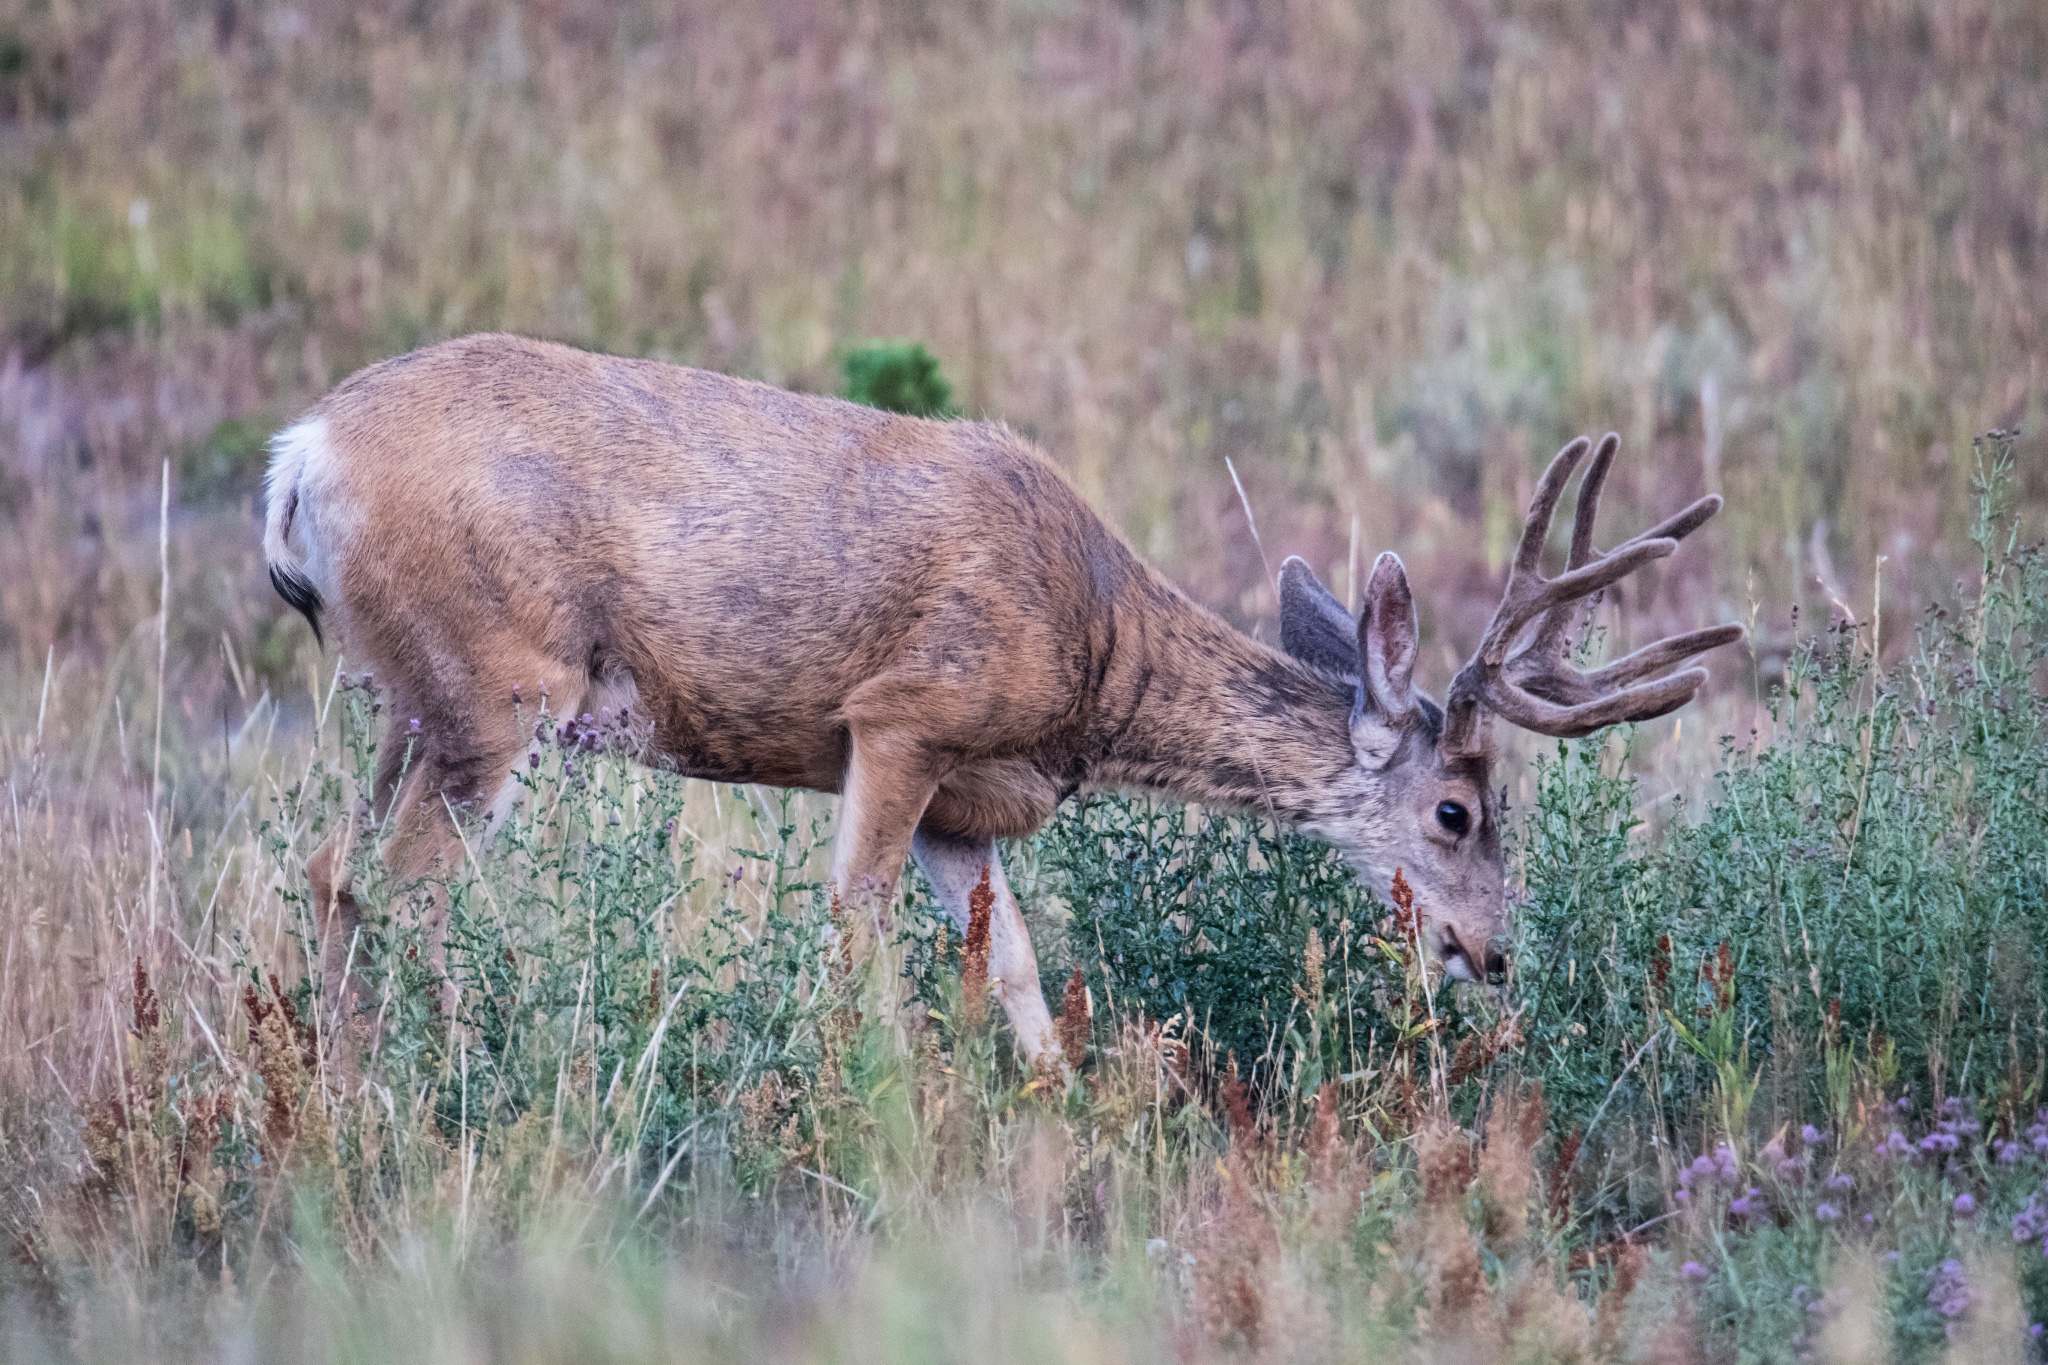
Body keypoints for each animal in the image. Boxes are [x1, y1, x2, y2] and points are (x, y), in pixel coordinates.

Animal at [268, 335, 1744, 1064]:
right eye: (1455, 812)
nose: (1490, 955)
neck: (1095, 662)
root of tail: (299, 454)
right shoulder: (903, 715)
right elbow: (854, 923)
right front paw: (882, 1101)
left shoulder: (965, 808)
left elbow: (1020, 966)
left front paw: (1062, 1111)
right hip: (495, 682)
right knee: (398, 882)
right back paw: (452, 1076)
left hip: (416, 697)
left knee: (337, 865)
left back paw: (353, 1086)